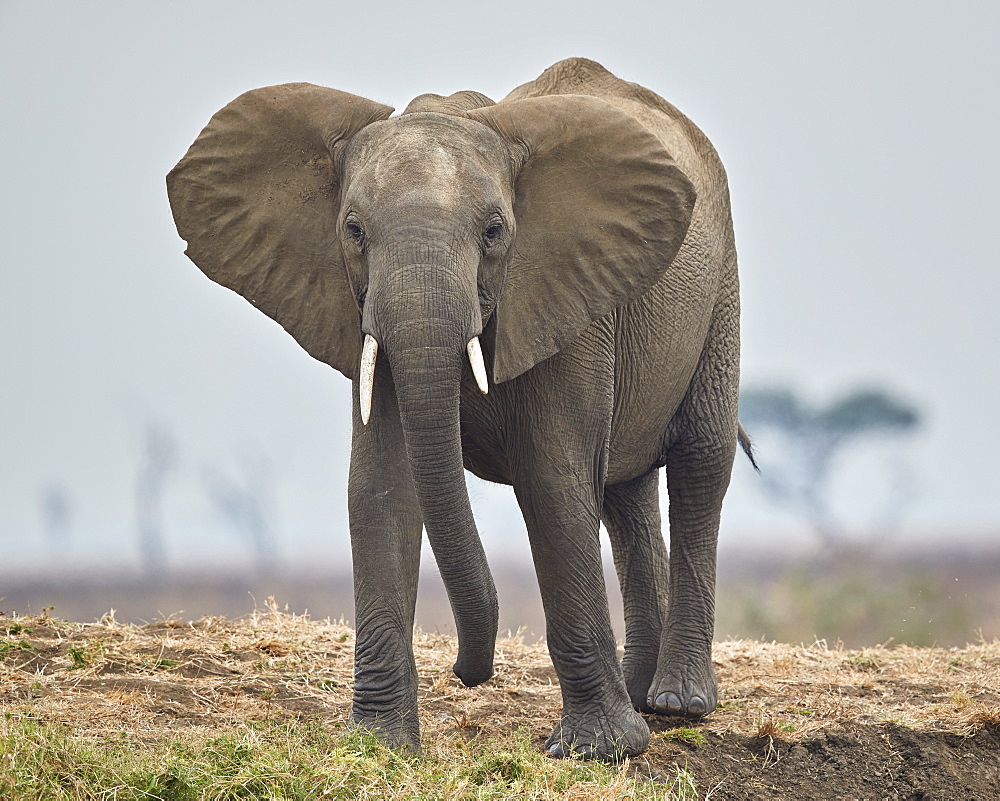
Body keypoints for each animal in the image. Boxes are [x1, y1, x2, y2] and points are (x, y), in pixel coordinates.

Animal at [168, 59, 748, 760]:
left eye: (494, 232)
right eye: (353, 231)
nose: (468, 672)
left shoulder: (569, 298)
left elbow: (554, 481)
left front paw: (597, 751)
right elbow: (383, 486)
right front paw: (381, 747)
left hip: (721, 291)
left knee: (698, 465)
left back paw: (677, 705)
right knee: (623, 491)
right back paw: (643, 697)